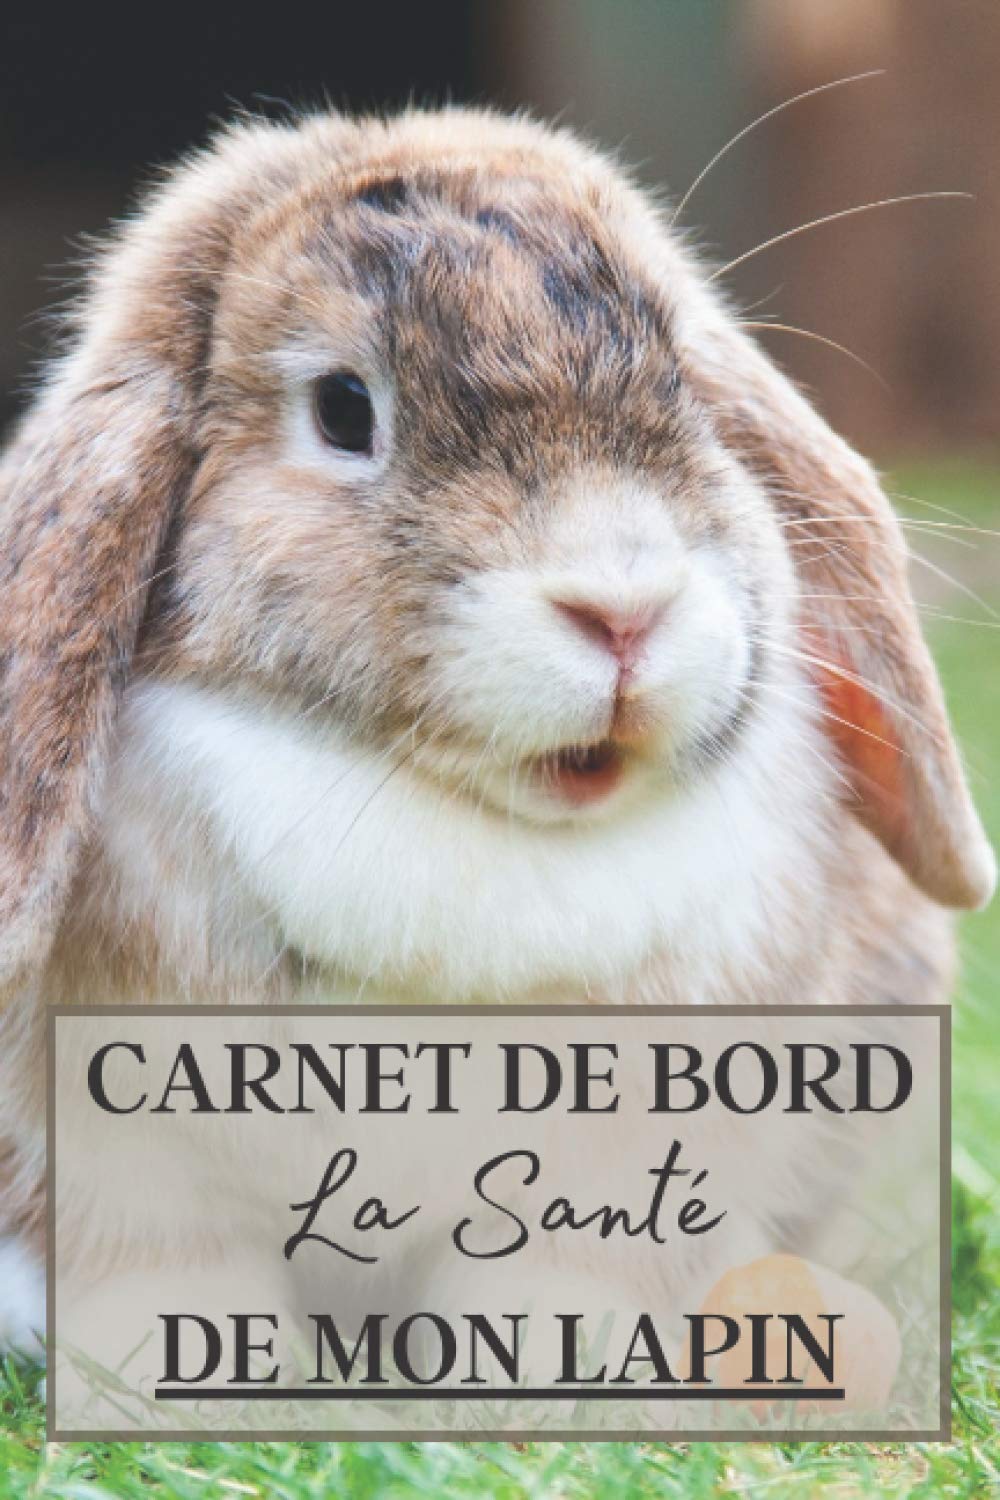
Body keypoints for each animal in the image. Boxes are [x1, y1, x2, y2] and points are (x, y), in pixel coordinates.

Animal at [0, 106, 992, 1406]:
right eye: (343, 409)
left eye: (686, 387)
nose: (622, 609)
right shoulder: (130, 1163)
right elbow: (167, 1279)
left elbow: (558, 1280)